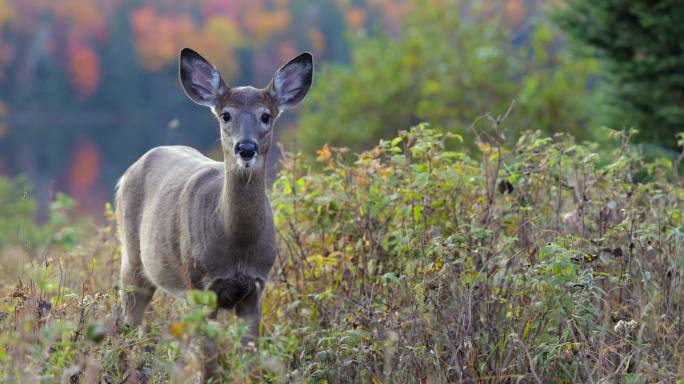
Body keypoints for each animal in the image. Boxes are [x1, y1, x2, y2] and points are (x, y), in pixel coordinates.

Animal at [115, 48, 312, 352]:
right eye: (226, 115)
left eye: (266, 116)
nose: (246, 147)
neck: (238, 247)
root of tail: (126, 174)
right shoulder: (201, 286)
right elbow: (208, 358)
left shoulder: (256, 289)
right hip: (133, 260)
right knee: (127, 323)